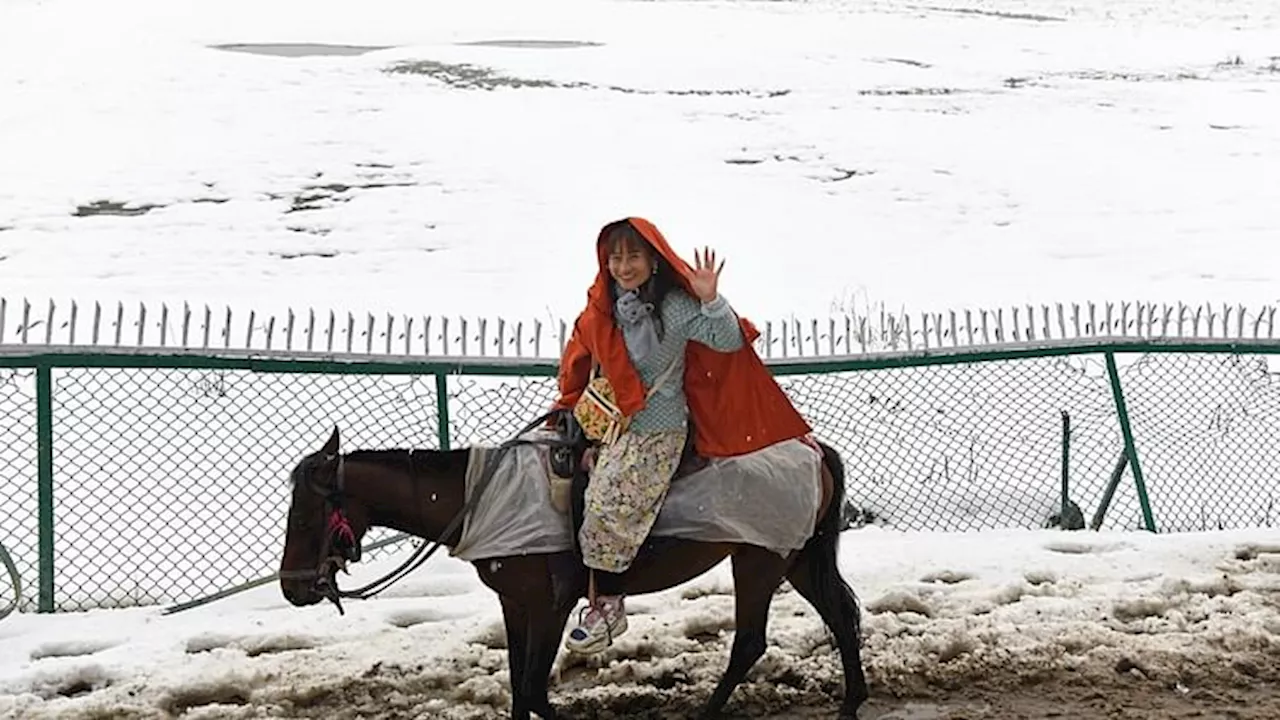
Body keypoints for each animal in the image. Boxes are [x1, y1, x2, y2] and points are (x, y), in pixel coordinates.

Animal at [275, 427, 865, 712]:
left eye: (303, 514)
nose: (292, 590)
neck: (479, 496)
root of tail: (815, 449)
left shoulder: (549, 605)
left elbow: (536, 691)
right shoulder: (514, 604)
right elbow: (519, 690)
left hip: (760, 559)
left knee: (749, 642)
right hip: (798, 557)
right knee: (840, 615)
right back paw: (851, 703)